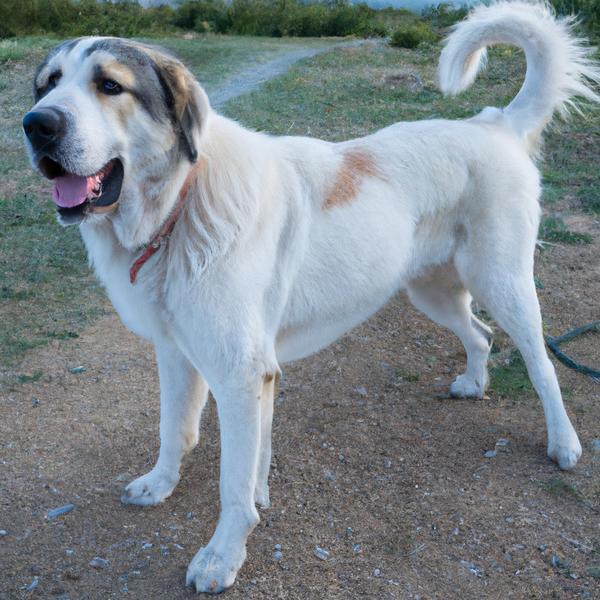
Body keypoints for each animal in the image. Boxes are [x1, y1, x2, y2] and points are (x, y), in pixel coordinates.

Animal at [22, 0, 596, 592]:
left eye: (110, 85)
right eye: (48, 85)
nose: (37, 124)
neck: (182, 203)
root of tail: (494, 124)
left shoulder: (239, 374)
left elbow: (232, 482)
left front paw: (222, 555)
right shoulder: (180, 354)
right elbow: (174, 430)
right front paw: (161, 484)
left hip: (502, 282)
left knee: (539, 362)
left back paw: (563, 442)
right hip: (430, 289)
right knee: (480, 334)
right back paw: (473, 384)